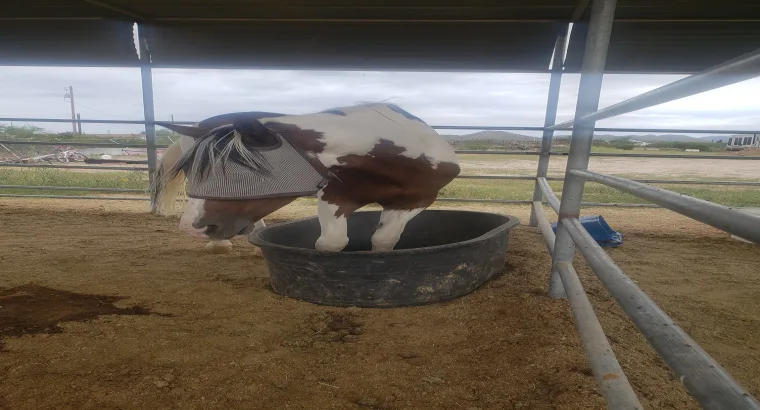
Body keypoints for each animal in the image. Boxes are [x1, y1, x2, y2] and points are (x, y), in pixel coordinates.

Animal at [150, 103, 461, 253]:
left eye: (243, 172)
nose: (192, 228)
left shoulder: (417, 199)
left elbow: (385, 239)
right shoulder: (335, 196)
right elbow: (331, 243)